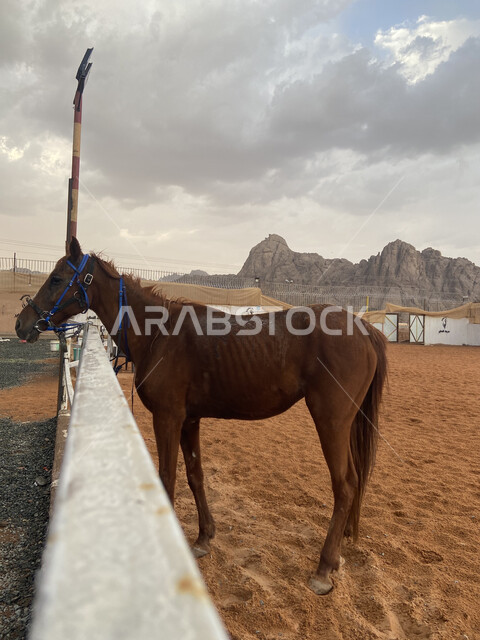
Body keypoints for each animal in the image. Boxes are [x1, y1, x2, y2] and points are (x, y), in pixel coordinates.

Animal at [15, 238, 387, 595]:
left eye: (57, 278)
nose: (22, 324)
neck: (159, 334)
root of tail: (364, 329)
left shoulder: (167, 418)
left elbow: (167, 478)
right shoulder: (189, 421)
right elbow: (195, 475)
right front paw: (204, 537)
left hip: (331, 421)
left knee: (345, 486)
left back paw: (323, 569)